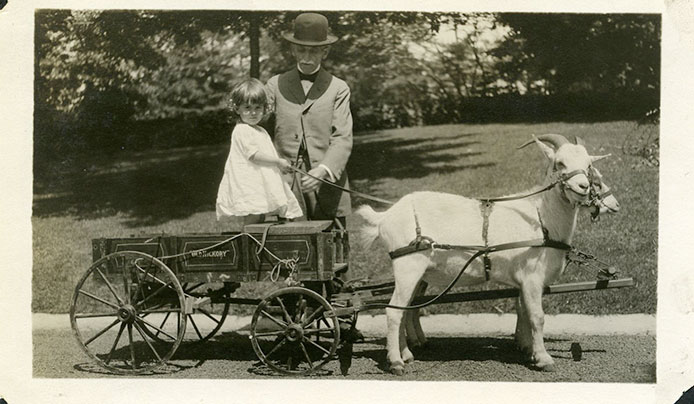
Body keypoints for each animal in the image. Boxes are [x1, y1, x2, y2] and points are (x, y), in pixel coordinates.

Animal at [358, 134, 616, 374]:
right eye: (559, 163)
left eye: (588, 165)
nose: (582, 187)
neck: (540, 217)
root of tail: (385, 216)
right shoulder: (532, 277)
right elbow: (537, 316)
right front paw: (544, 359)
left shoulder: (523, 280)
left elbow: (522, 312)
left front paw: (527, 349)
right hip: (407, 268)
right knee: (393, 311)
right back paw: (396, 362)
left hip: (417, 273)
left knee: (406, 310)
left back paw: (407, 354)